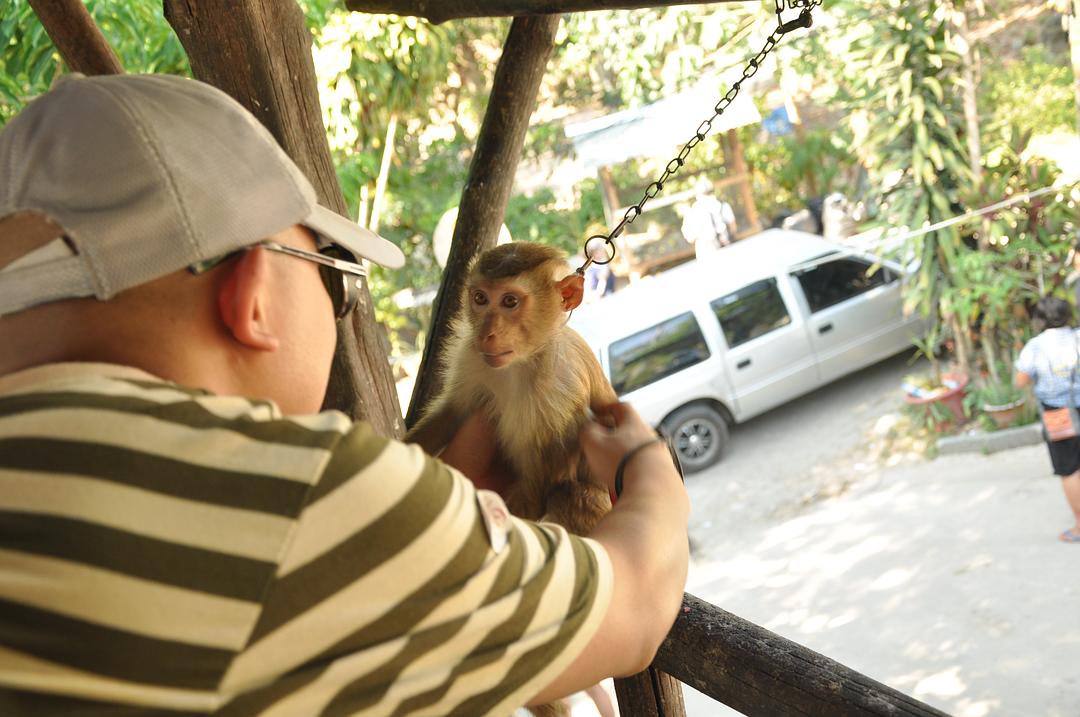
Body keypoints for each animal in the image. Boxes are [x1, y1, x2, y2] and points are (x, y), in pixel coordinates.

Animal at [408, 240, 622, 537]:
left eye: (510, 301)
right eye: (480, 298)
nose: (486, 333)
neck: (524, 361)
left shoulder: (560, 393)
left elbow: (539, 484)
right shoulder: (471, 358)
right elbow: (453, 412)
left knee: (569, 494)